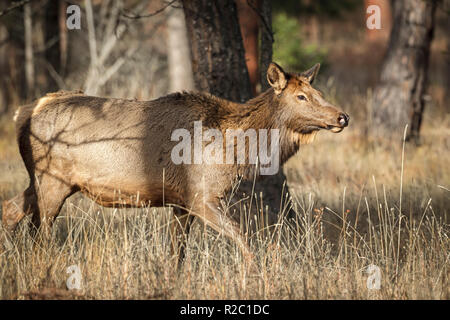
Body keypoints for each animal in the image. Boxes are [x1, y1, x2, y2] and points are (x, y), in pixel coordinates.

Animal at [1, 62, 350, 262]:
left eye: (318, 91)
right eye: (301, 96)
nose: (342, 117)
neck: (235, 151)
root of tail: (23, 113)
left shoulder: (180, 203)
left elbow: (177, 256)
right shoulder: (201, 195)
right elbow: (244, 240)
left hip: (43, 181)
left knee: (10, 210)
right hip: (52, 180)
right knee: (39, 235)